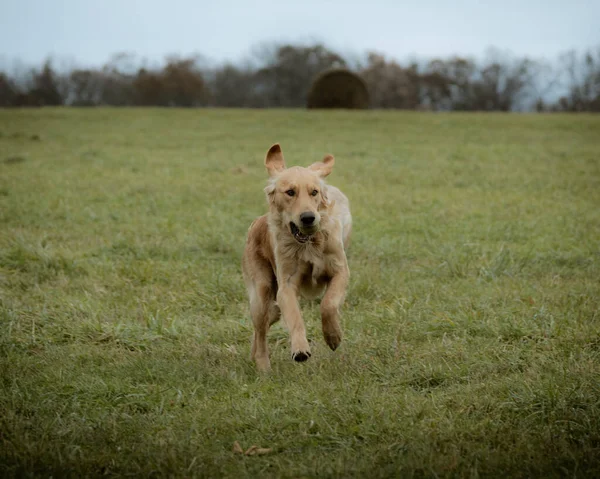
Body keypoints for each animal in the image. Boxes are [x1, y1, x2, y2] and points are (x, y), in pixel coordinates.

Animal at [241, 142, 350, 372]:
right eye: (290, 192)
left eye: (314, 192)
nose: (308, 218)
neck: (308, 245)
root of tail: (256, 223)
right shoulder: (286, 286)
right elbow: (295, 318)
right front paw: (300, 349)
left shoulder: (340, 271)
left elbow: (328, 304)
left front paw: (333, 336)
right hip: (261, 292)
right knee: (260, 330)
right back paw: (263, 365)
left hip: (272, 308)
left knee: (263, 325)